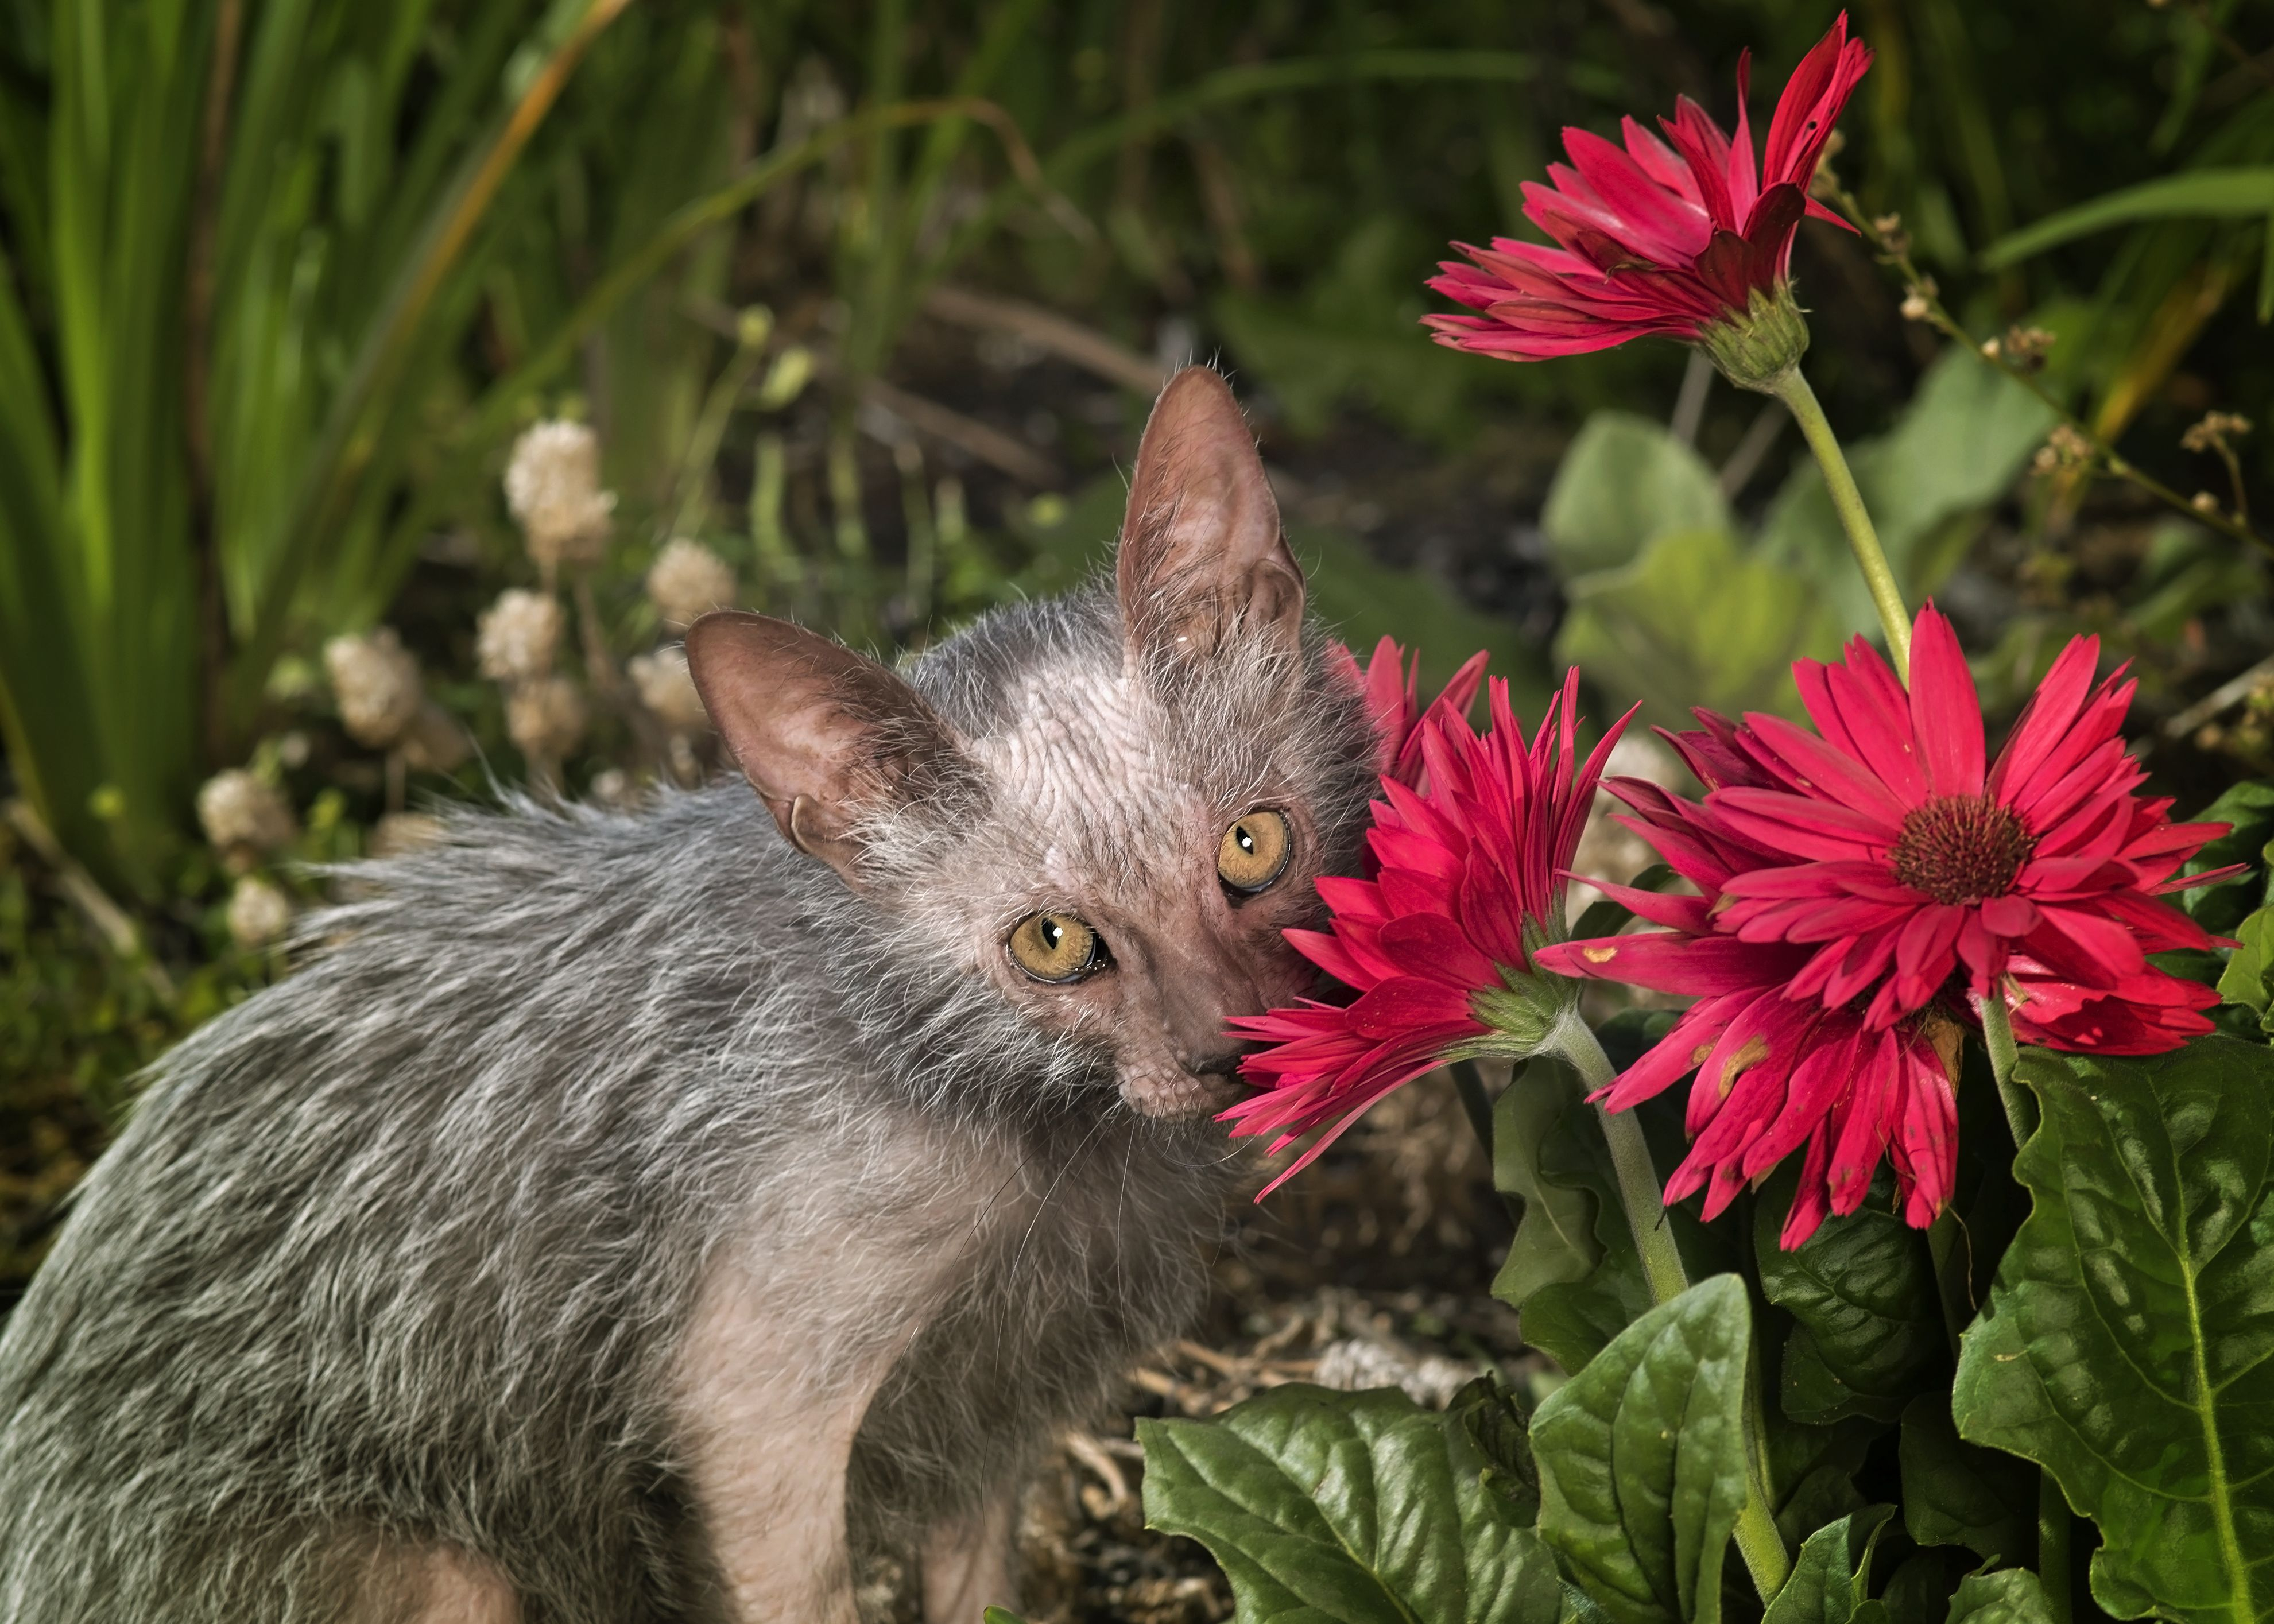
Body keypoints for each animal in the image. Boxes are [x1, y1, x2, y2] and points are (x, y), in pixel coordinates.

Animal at [0, 370, 1373, 1619]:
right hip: (449, 1579)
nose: (1231, 1048)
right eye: (1050, 941)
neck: (1047, 1135)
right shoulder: (750, 1420)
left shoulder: (998, 1422)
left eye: (1252, 845)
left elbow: (975, 1589)